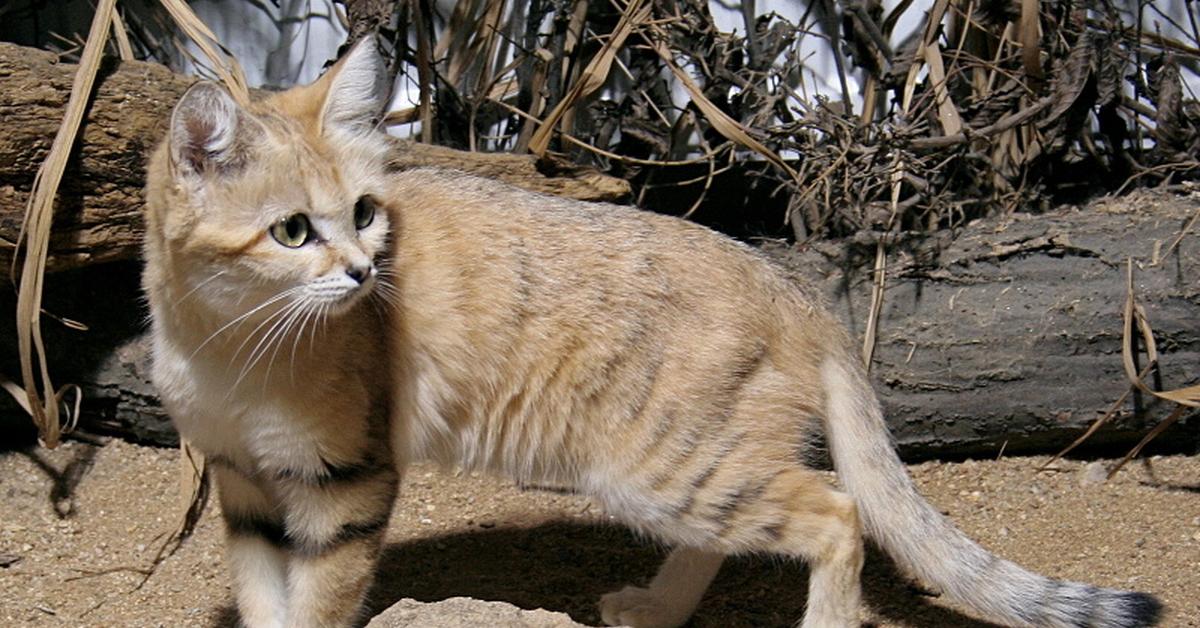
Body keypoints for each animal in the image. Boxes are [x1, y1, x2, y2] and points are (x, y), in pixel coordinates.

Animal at [142, 38, 1161, 628]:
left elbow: (316, 607)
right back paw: (659, 608)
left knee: (836, 517)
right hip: (685, 471)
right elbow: (263, 600)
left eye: (363, 212)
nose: (363, 273)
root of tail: (796, 292)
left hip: (658, 466)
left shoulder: (346, 485)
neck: (227, 342)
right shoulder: (241, 484)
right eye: (293, 232)